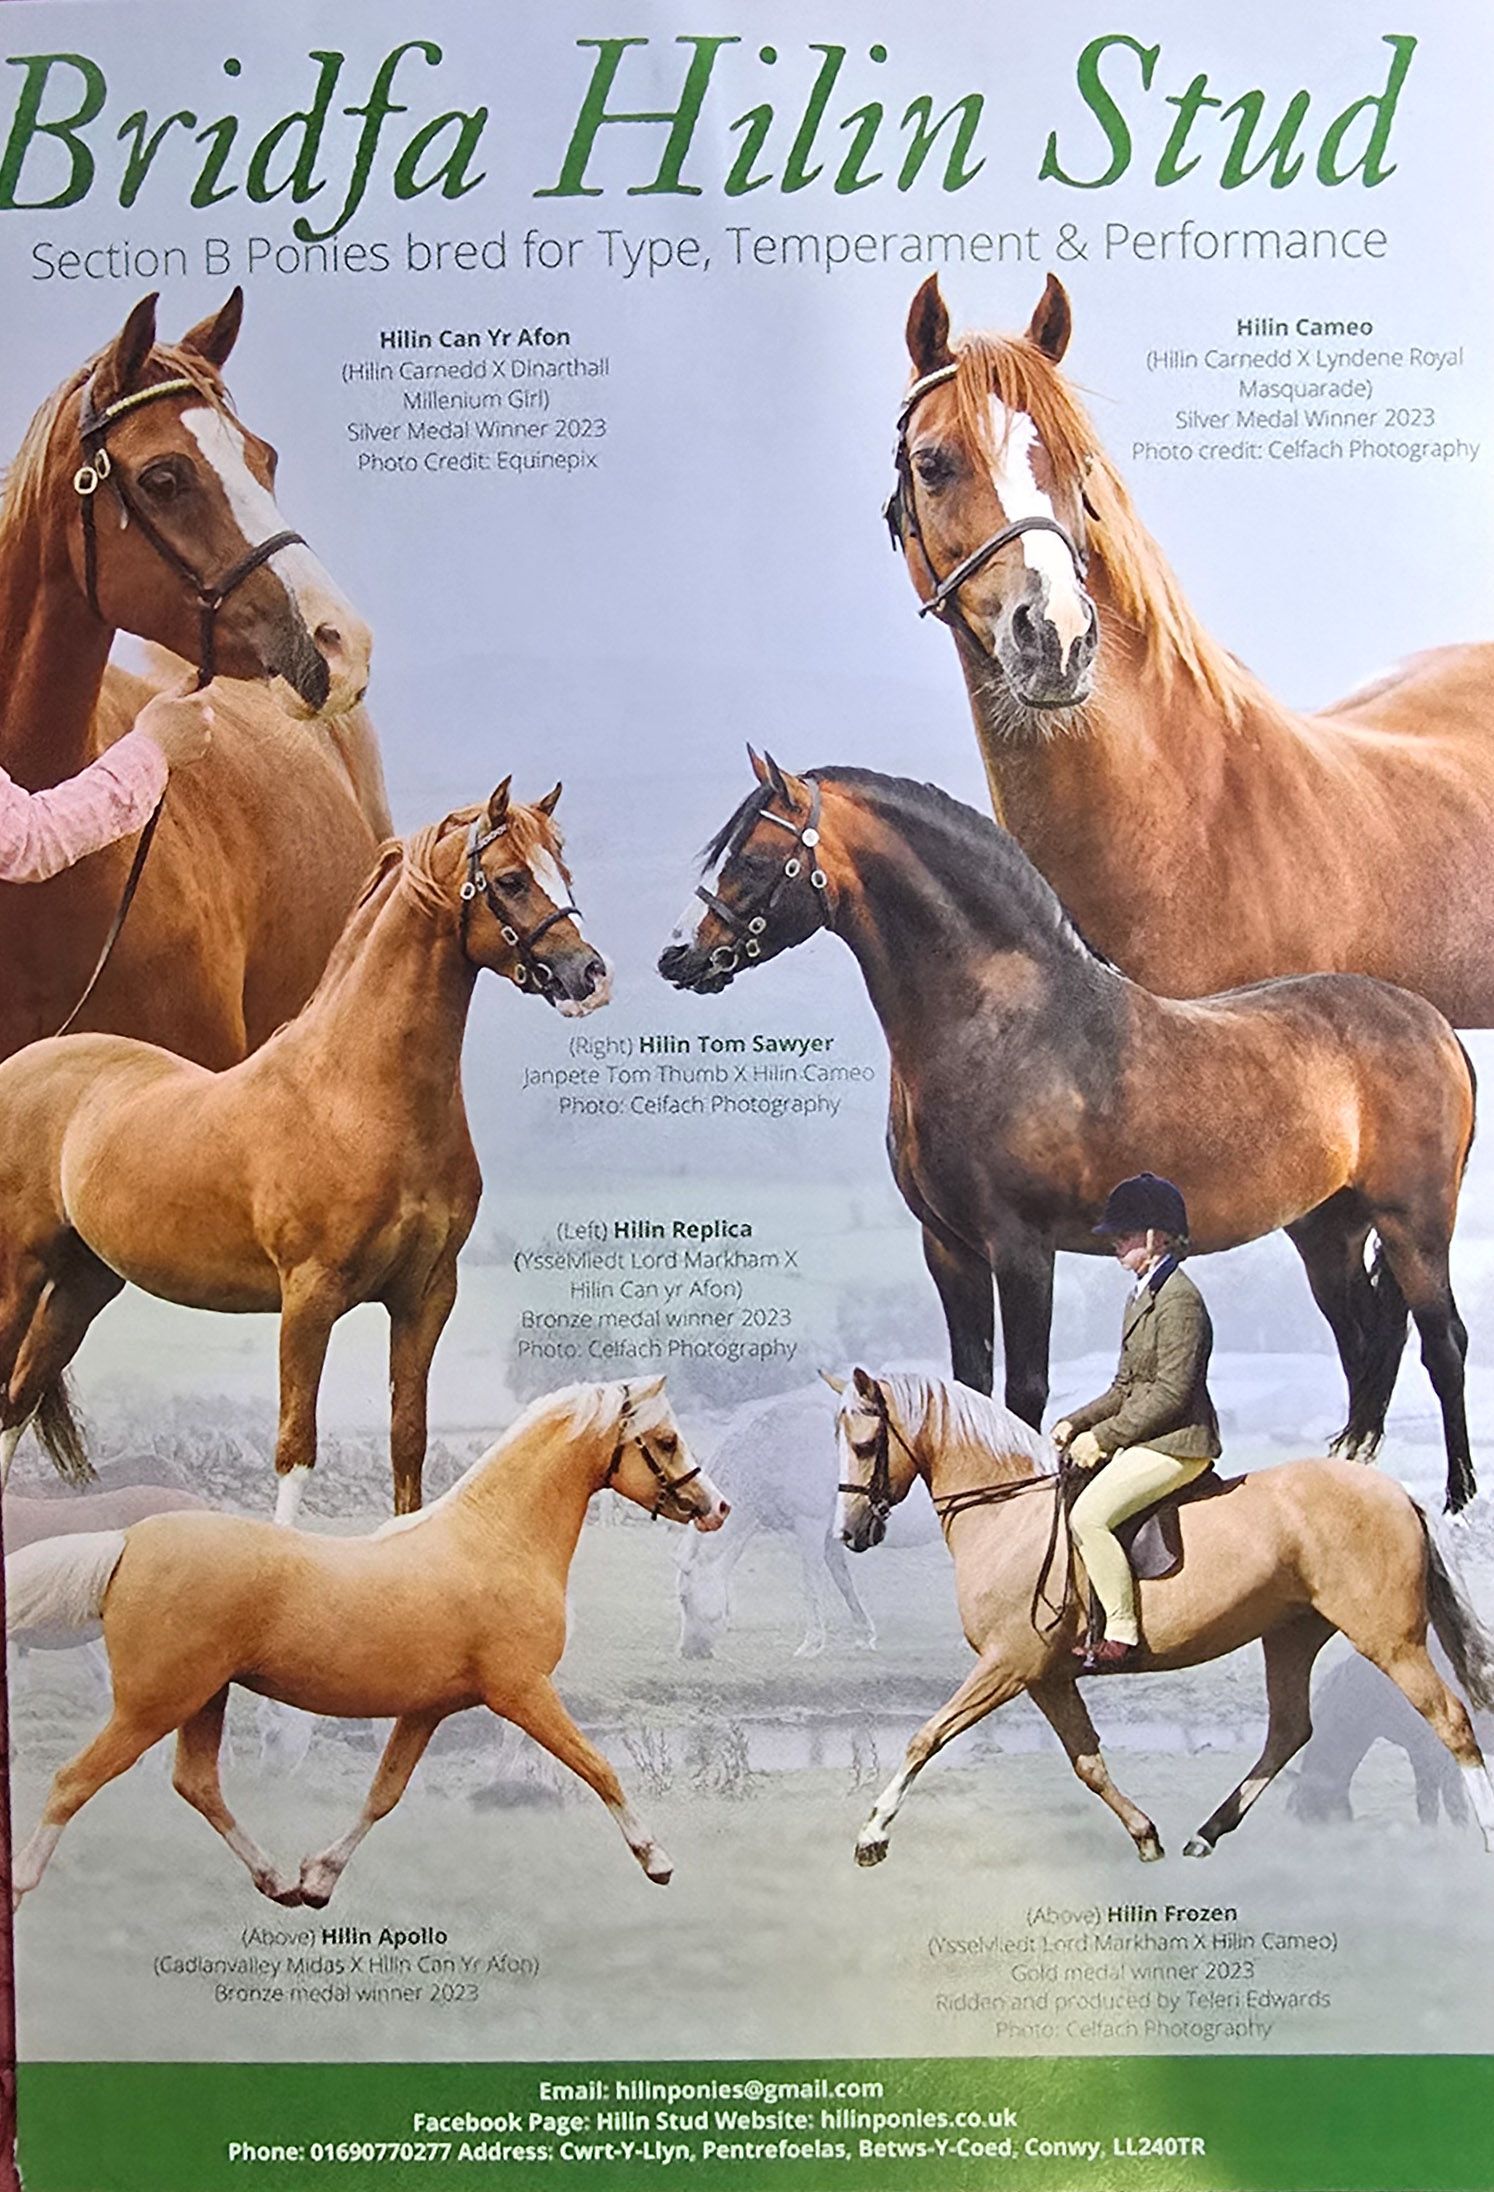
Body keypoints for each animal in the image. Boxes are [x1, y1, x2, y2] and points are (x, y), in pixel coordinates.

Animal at [0, 783, 611, 1519]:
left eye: (566, 873)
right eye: (513, 879)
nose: (589, 975)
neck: (353, 1094)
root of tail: (22, 1063)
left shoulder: (426, 1296)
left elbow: (408, 1442)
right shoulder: (308, 1298)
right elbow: (296, 1450)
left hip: (83, 1283)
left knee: (18, 1401)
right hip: (19, 1272)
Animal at [7, 1380, 729, 1908]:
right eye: (666, 1439)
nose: (716, 1506)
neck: (494, 1541)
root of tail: (128, 1542)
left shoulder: (428, 1709)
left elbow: (383, 1793)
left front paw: (319, 1878)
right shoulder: (522, 1692)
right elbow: (598, 1767)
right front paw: (657, 1861)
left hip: (202, 1699)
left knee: (197, 1784)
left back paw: (278, 1882)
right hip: (152, 1705)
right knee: (73, 1782)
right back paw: (22, 1886)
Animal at [659, 755, 1479, 1510]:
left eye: (754, 859)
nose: (677, 956)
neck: (1000, 1023)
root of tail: (1434, 1026)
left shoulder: (1023, 1248)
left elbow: (1024, 1390)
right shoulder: (948, 1247)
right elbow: (969, 1381)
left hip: (1414, 1224)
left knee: (1443, 1343)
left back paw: (1458, 1497)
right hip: (1325, 1231)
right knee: (1363, 1340)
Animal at [675, 1384, 939, 1658]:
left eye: (683, 1598)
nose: (687, 1651)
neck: (777, 1447)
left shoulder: (810, 1525)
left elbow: (810, 1582)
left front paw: (812, 1642)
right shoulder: (830, 1535)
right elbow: (843, 1581)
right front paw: (864, 1634)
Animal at [826, 1367, 1494, 1866]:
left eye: (865, 1445)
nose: (851, 1534)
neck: (1009, 1511)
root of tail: (1396, 1491)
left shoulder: (1008, 1665)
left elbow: (926, 1736)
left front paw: (871, 1835)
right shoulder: (1046, 1676)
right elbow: (1088, 1762)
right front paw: (1145, 1835)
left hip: (1390, 1641)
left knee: (1452, 1721)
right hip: (1291, 1635)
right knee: (1289, 1731)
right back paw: (1206, 1833)